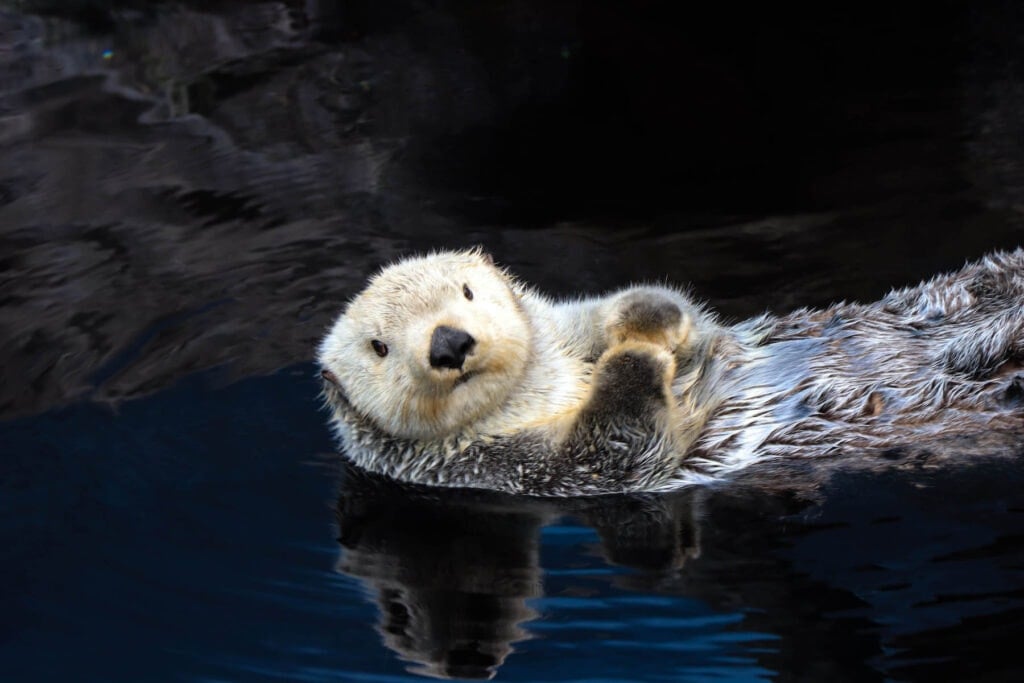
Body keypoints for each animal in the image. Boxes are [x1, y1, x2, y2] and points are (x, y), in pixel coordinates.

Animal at [315, 248, 1019, 493]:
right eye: (379, 347)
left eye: (465, 291)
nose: (450, 343)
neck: (543, 389)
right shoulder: (506, 469)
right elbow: (618, 448)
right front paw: (635, 357)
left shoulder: (568, 328)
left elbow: (676, 318)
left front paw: (645, 319)